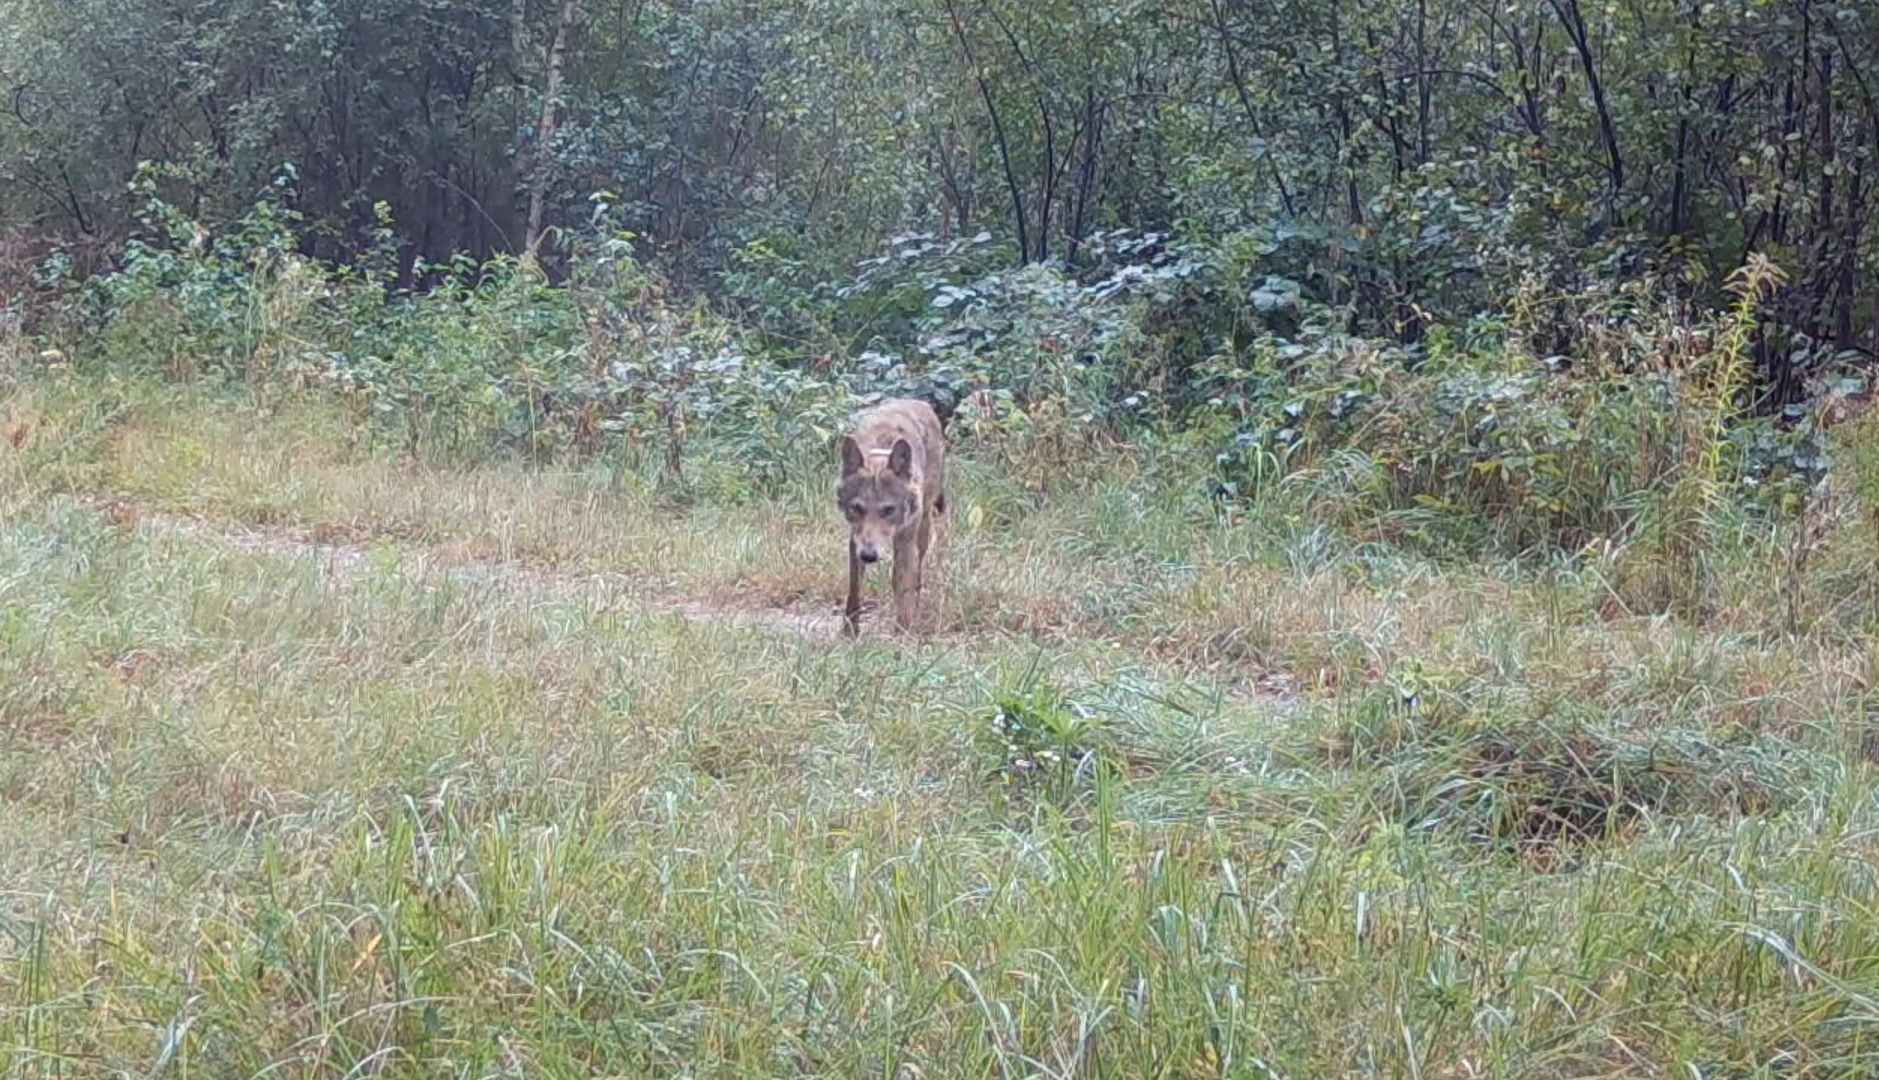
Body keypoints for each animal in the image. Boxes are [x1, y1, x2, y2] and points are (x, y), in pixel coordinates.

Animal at [841, 398, 947, 634]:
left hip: (923, 528)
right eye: (857, 508)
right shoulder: (855, 538)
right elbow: (854, 587)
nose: (869, 555)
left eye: (889, 510)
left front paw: (903, 632)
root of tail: (919, 401)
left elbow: (904, 582)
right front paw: (849, 632)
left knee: (915, 573)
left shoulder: (905, 538)